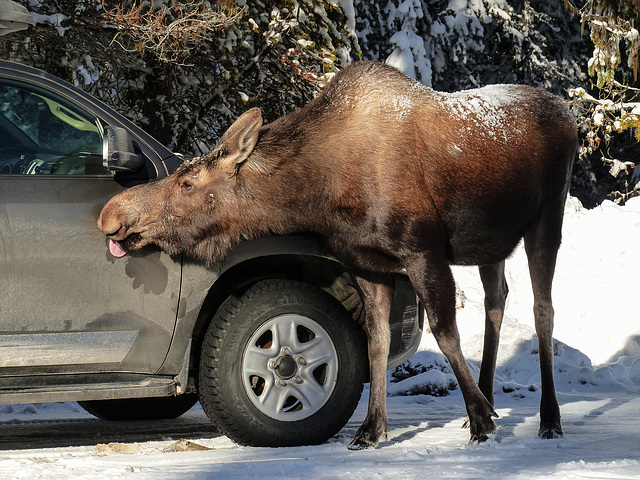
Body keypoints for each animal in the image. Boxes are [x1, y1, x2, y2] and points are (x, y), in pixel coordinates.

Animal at [97, 61, 576, 450]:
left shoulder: (422, 250)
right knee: (498, 300)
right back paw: (491, 400)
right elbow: (377, 343)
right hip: (490, 242)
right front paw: (371, 430)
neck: (321, 195)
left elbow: (445, 334)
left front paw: (480, 423)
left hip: (546, 220)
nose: (112, 213)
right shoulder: (366, 264)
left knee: (544, 309)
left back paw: (547, 419)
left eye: (187, 183)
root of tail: (568, 113)